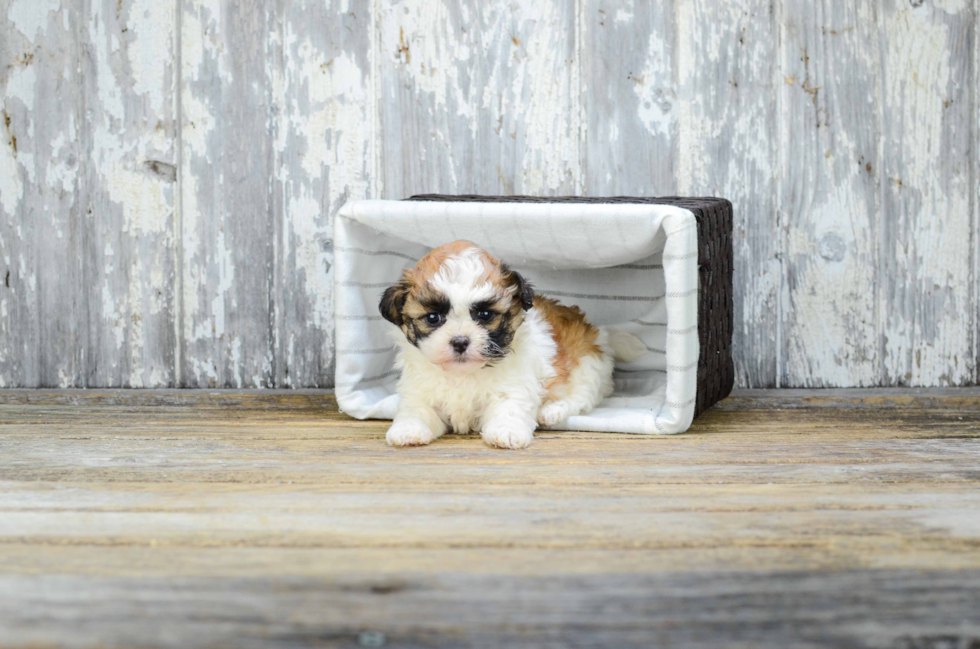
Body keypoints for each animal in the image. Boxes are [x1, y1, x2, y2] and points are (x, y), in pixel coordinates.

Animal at [378, 240, 648, 448]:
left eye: (485, 315)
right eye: (433, 318)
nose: (460, 341)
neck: (464, 373)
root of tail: (597, 334)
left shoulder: (514, 387)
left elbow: (508, 408)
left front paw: (506, 433)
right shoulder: (419, 391)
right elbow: (417, 409)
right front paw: (408, 430)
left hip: (587, 366)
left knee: (583, 397)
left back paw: (552, 411)